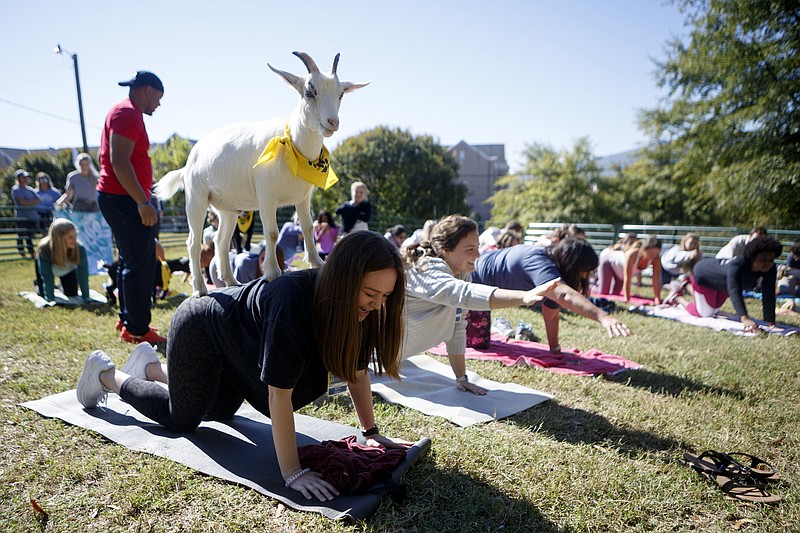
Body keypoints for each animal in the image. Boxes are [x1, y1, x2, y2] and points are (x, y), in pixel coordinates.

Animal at [153, 52, 368, 296]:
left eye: (341, 93)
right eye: (309, 92)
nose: (333, 122)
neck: (292, 146)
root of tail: (189, 161)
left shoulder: (303, 198)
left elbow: (308, 227)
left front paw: (316, 263)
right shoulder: (266, 196)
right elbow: (272, 233)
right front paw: (273, 273)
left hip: (227, 208)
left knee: (220, 240)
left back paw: (231, 281)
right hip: (195, 198)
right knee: (193, 242)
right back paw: (200, 288)